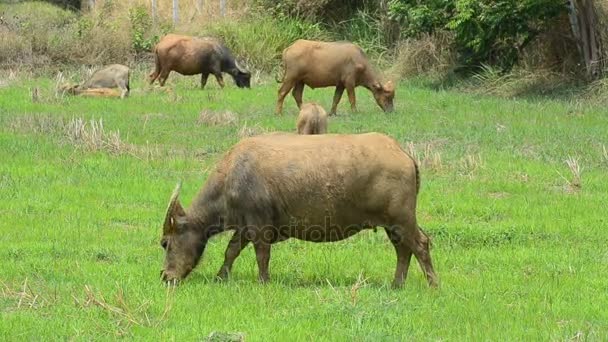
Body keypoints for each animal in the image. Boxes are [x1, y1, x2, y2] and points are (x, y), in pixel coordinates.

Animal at [160, 132, 436, 288]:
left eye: (166, 243)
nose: (165, 276)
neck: (233, 176)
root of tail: (403, 153)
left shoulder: (259, 226)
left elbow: (262, 255)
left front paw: (263, 282)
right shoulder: (244, 226)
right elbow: (231, 251)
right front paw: (221, 277)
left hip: (401, 219)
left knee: (420, 244)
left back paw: (433, 284)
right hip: (392, 224)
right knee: (403, 250)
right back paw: (397, 284)